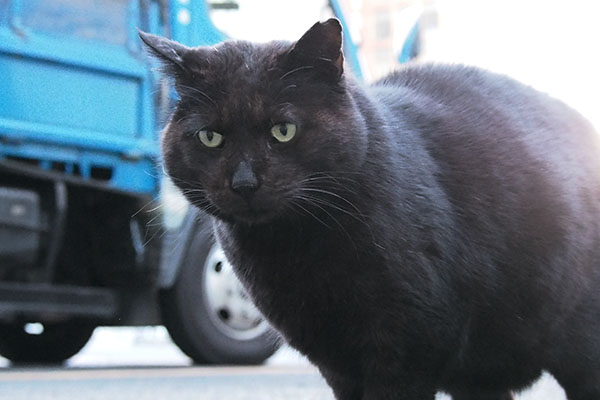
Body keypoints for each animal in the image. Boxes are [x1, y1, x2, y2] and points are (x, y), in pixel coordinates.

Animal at [139, 18, 600, 400]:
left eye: (283, 130)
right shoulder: (336, 362)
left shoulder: (404, 351)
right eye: (210, 137)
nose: (244, 183)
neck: (297, 256)